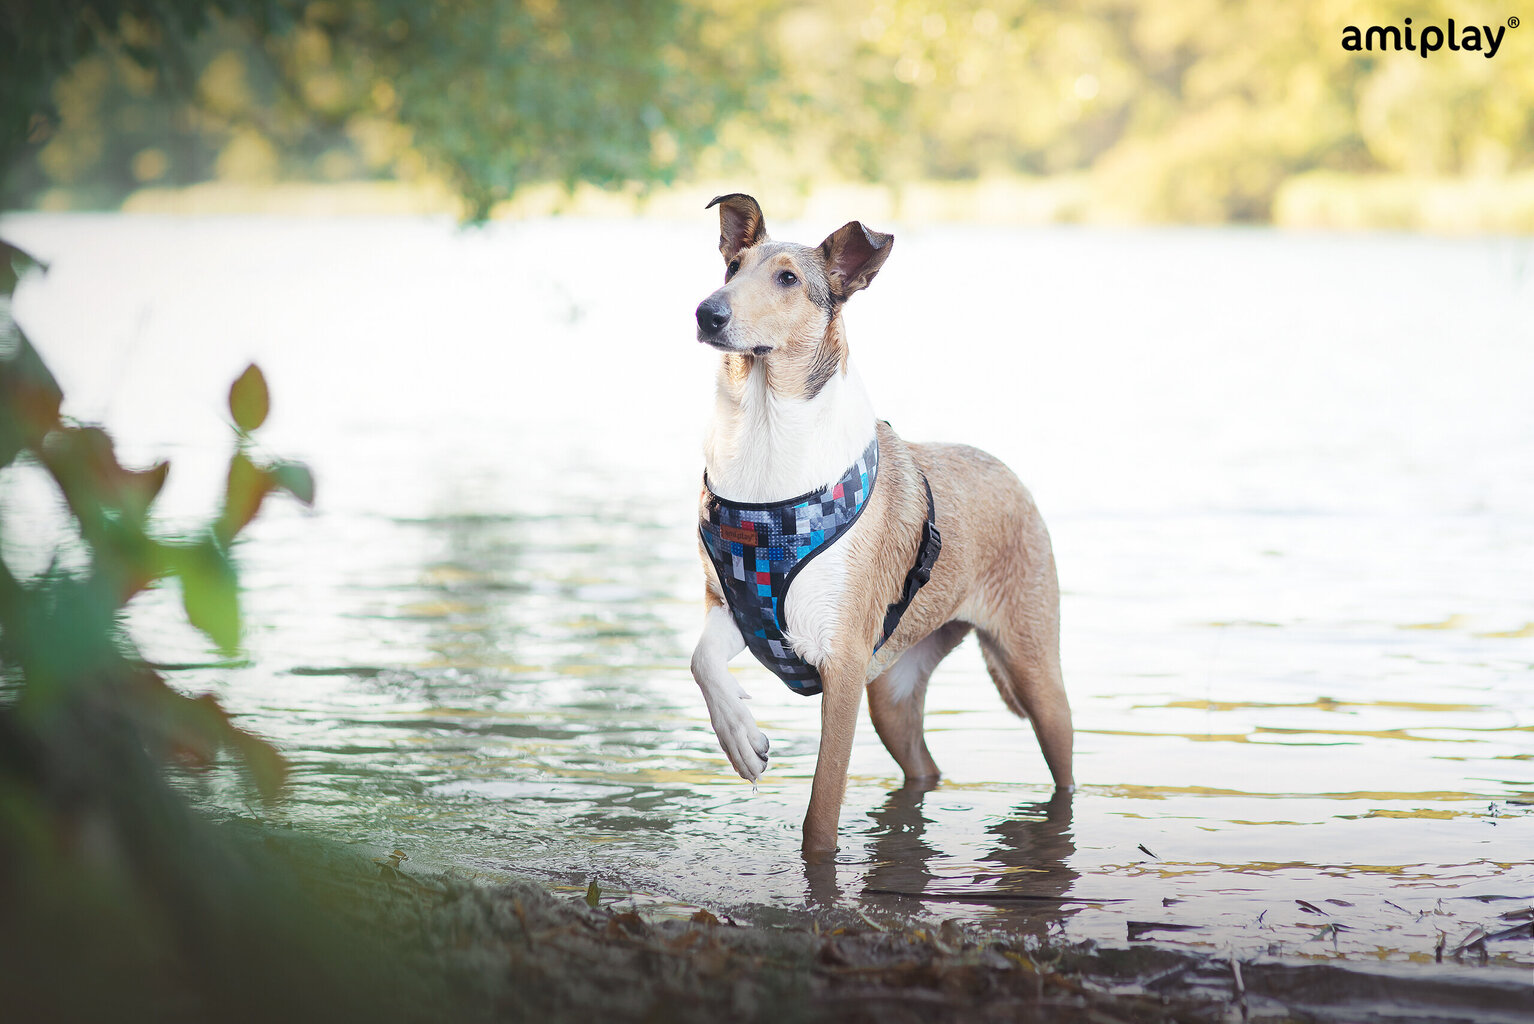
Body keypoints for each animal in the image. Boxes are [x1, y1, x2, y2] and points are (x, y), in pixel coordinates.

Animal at [690, 193, 1073, 858]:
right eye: (731, 267)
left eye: (787, 279)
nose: (707, 314)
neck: (766, 437)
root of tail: (1007, 472)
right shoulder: (737, 606)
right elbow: (700, 661)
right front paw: (741, 737)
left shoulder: (840, 660)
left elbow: (821, 815)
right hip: (892, 695)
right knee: (925, 769)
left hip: (1037, 676)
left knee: (1065, 769)